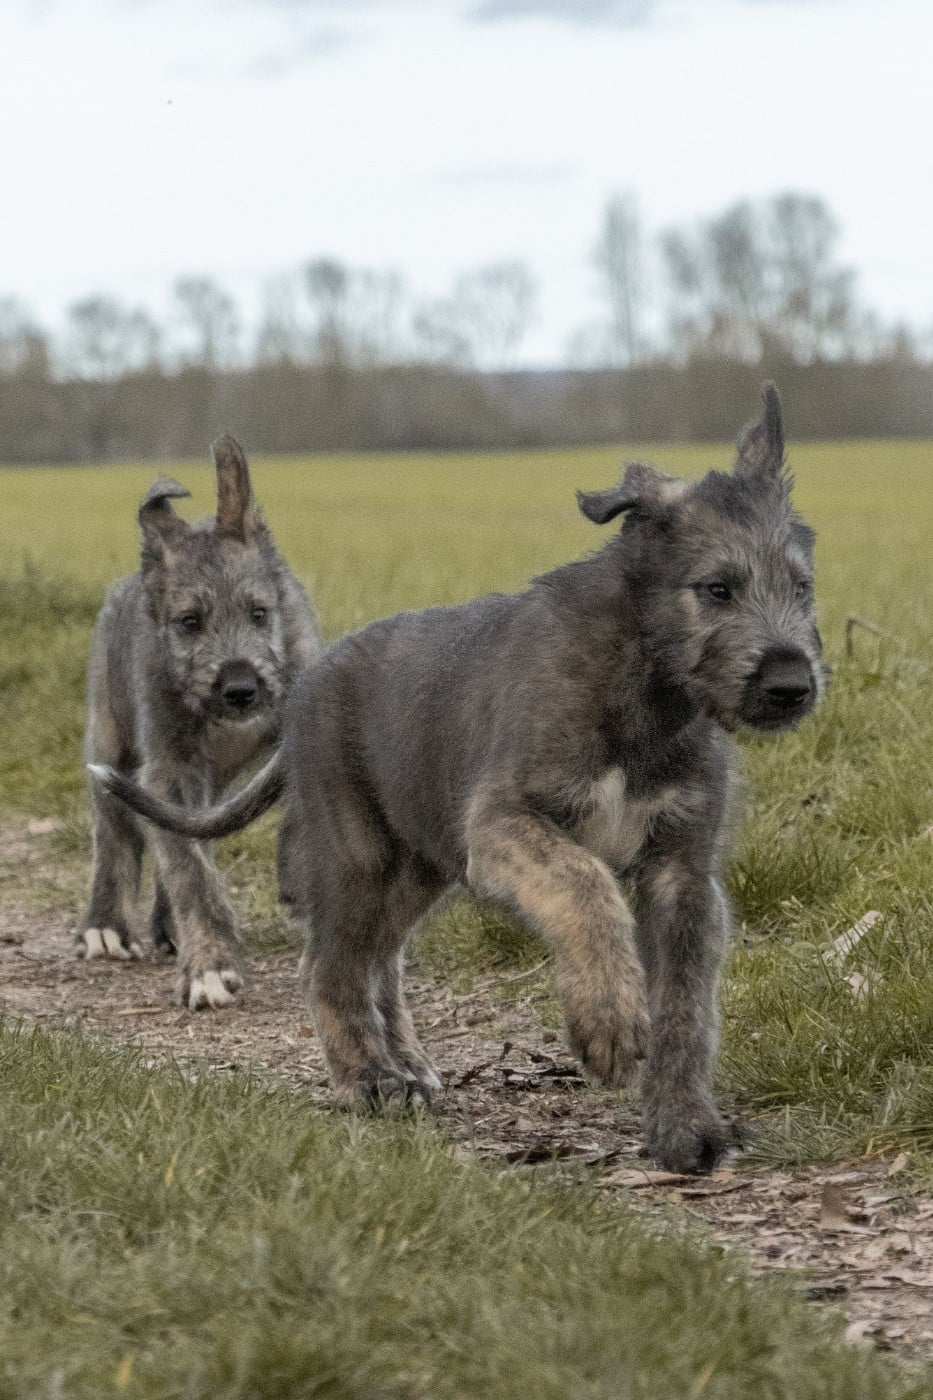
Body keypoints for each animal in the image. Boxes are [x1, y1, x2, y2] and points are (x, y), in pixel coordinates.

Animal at [78, 435, 321, 1008]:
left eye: (259, 613)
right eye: (190, 622)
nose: (240, 689)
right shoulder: (167, 766)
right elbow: (187, 867)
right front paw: (209, 964)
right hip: (109, 737)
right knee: (117, 832)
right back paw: (107, 925)